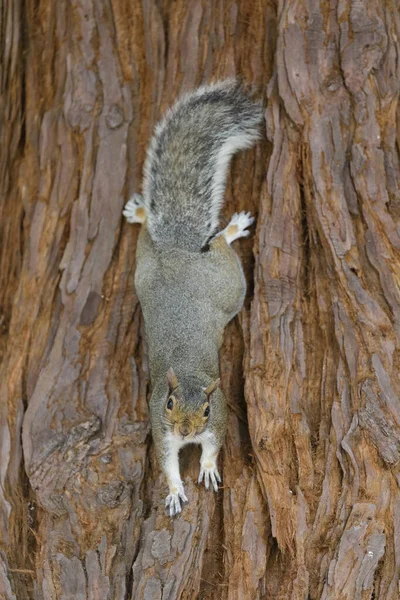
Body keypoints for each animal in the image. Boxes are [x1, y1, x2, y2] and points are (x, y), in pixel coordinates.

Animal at [123, 79, 264, 516]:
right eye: (169, 404)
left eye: (204, 408)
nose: (186, 430)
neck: (185, 372)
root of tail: (178, 253)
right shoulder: (160, 428)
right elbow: (166, 462)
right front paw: (173, 491)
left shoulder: (217, 421)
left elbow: (213, 448)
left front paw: (206, 469)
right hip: (147, 266)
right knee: (156, 232)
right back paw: (141, 213)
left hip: (229, 287)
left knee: (217, 243)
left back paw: (233, 227)